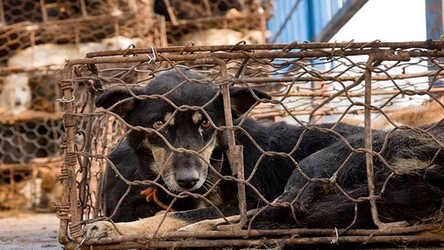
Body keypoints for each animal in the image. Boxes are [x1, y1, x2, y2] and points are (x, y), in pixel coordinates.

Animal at [81, 68, 362, 236]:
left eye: (206, 124)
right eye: (159, 124)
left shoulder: (250, 198)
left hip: (313, 168)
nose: (188, 180)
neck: (221, 162)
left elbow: (181, 216)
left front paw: (115, 228)